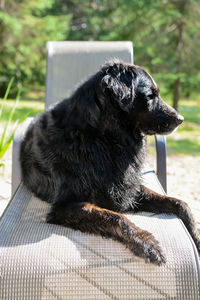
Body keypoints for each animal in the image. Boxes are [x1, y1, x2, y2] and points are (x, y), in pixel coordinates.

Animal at [20, 60, 200, 264]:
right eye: (150, 96)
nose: (181, 119)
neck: (103, 138)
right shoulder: (65, 206)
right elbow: (115, 217)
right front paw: (146, 242)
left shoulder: (128, 187)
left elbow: (179, 203)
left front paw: (196, 237)